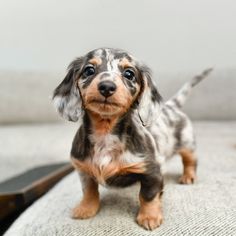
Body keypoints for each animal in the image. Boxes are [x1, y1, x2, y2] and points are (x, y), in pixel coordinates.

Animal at [53, 48, 212, 230]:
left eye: (129, 74)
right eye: (89, 70)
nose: (107, 87)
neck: (105, 131)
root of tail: (171, 106)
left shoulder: (151, 171)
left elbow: (148, 195)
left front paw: (149, 216)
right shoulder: (83, 169)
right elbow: (89, 190)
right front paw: (86, 208)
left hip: (187, 143)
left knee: (190, 161)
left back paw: (188, 176)